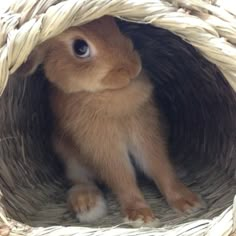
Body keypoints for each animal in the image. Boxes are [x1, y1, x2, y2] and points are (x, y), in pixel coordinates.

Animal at [18, 15, 203, 226]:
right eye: (80, 48)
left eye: (113, 24)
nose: (132, 67)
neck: (109, 93)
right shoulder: (102, 146)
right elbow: (122, 176)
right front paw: (140, 216)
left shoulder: (146, 132)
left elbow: (159, 167)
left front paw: (188, 202)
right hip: (69, 157)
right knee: (80, 181)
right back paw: (88, 206)